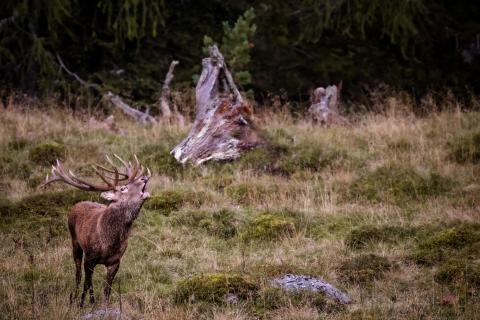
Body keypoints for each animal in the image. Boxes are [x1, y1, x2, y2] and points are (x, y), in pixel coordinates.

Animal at [40, 154, 151, 306]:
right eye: (123, 188)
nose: (144, 178)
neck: (108, 243)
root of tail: (78, 204)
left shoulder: (115, 261)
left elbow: (107, 289)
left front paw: (104, 305)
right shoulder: (89, 257)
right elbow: (87, 284)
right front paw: (83, 304)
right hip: (75, 242)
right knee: (78, 275)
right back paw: (74, 298)